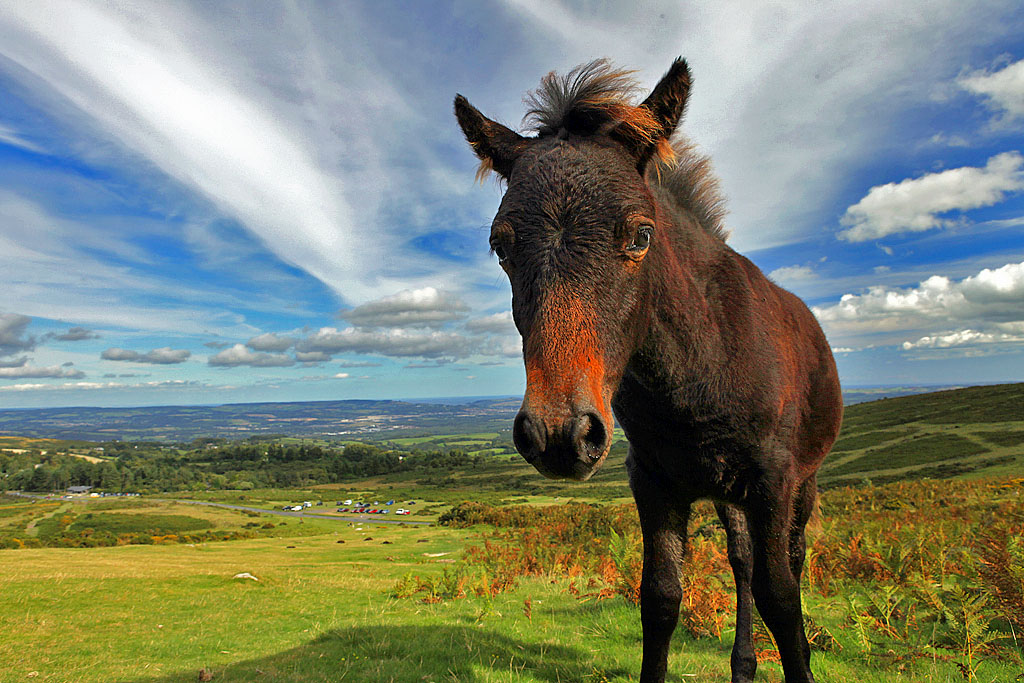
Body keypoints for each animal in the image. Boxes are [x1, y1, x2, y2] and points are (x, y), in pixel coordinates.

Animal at [454, 56, 839, 679]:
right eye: (500, 246)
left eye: (641, 234)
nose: (557, 434)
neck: (701, 370)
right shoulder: (655, 483)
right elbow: (660, 598)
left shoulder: (773, 481)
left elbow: (783, 600)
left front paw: (798, 660)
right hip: (727, 494)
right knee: (741, 559)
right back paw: (742, 664)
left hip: (800, 483)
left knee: (789, 560)